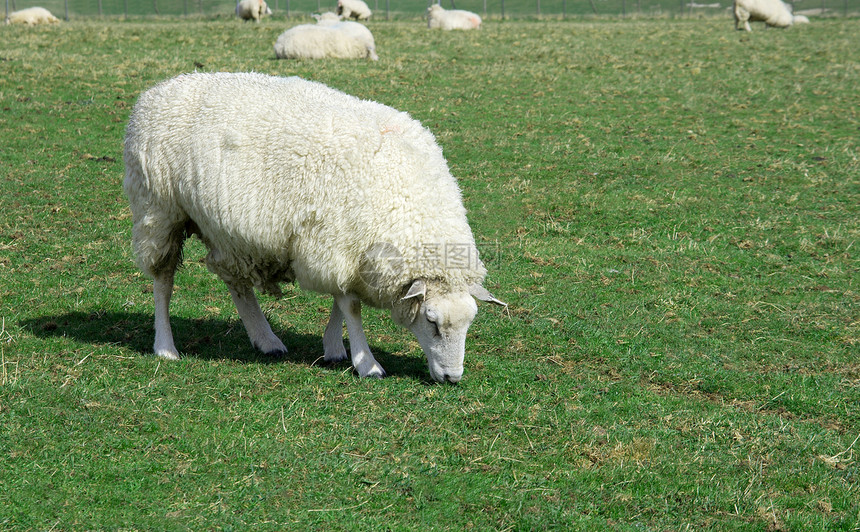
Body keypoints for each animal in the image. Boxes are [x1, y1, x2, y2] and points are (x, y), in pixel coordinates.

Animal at [124, 72, 508, 384]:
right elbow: (350, 306)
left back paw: (266, 340)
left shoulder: (349, 251)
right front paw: (366, 363)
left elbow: (342, 301)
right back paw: (166, 347)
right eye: (431, 321)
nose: (452, 377)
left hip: (228, 232)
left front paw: (335, 348)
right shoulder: (333, 245)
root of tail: (158, 89)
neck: (408, 200)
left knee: (234, 280)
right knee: (163, 280)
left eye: (470, 323)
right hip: (158, 209)